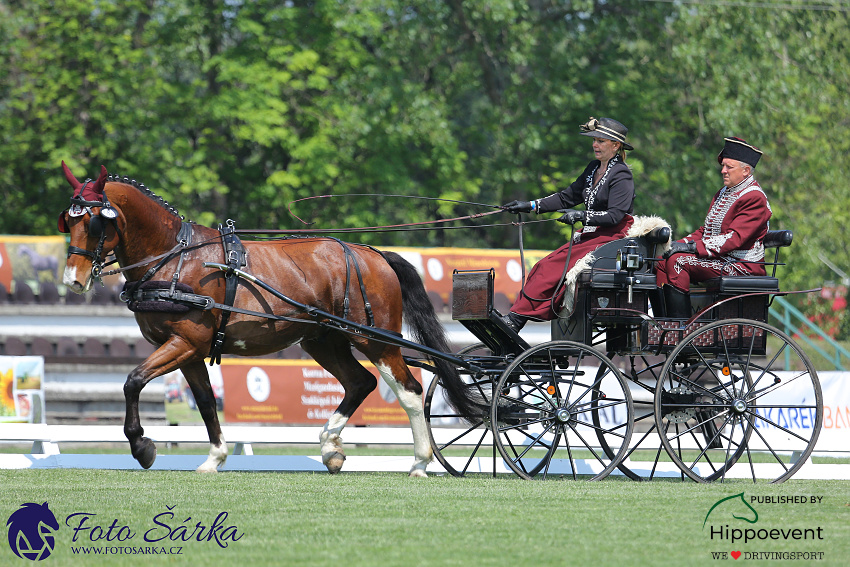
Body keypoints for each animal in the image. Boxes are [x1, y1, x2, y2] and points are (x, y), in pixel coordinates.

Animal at [58, 162, 484, 478]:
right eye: (68, 220)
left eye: (95, 222)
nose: (72, 280)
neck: (176, 259)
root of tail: (372, 253)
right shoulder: (189, 350)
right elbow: (206, 401)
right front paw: (214, 458)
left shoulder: (185, 342)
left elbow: (133, 381)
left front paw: (142, 446)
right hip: (324, 340)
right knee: (360, 382)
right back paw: (330, 448)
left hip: (375, 339)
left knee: (409, 390)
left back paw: (419, 463)